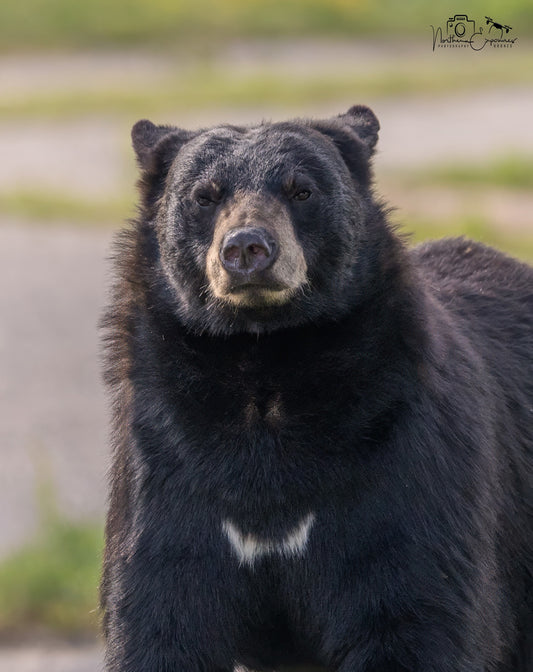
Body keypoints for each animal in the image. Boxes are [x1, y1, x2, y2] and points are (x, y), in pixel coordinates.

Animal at [100, 105, 533, 672]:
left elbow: (416, 606)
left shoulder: (402, 462)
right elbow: (163, 613)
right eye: (204, 195)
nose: (246, 249)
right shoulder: (167, 470)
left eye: (301, 190)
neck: (266, 364)